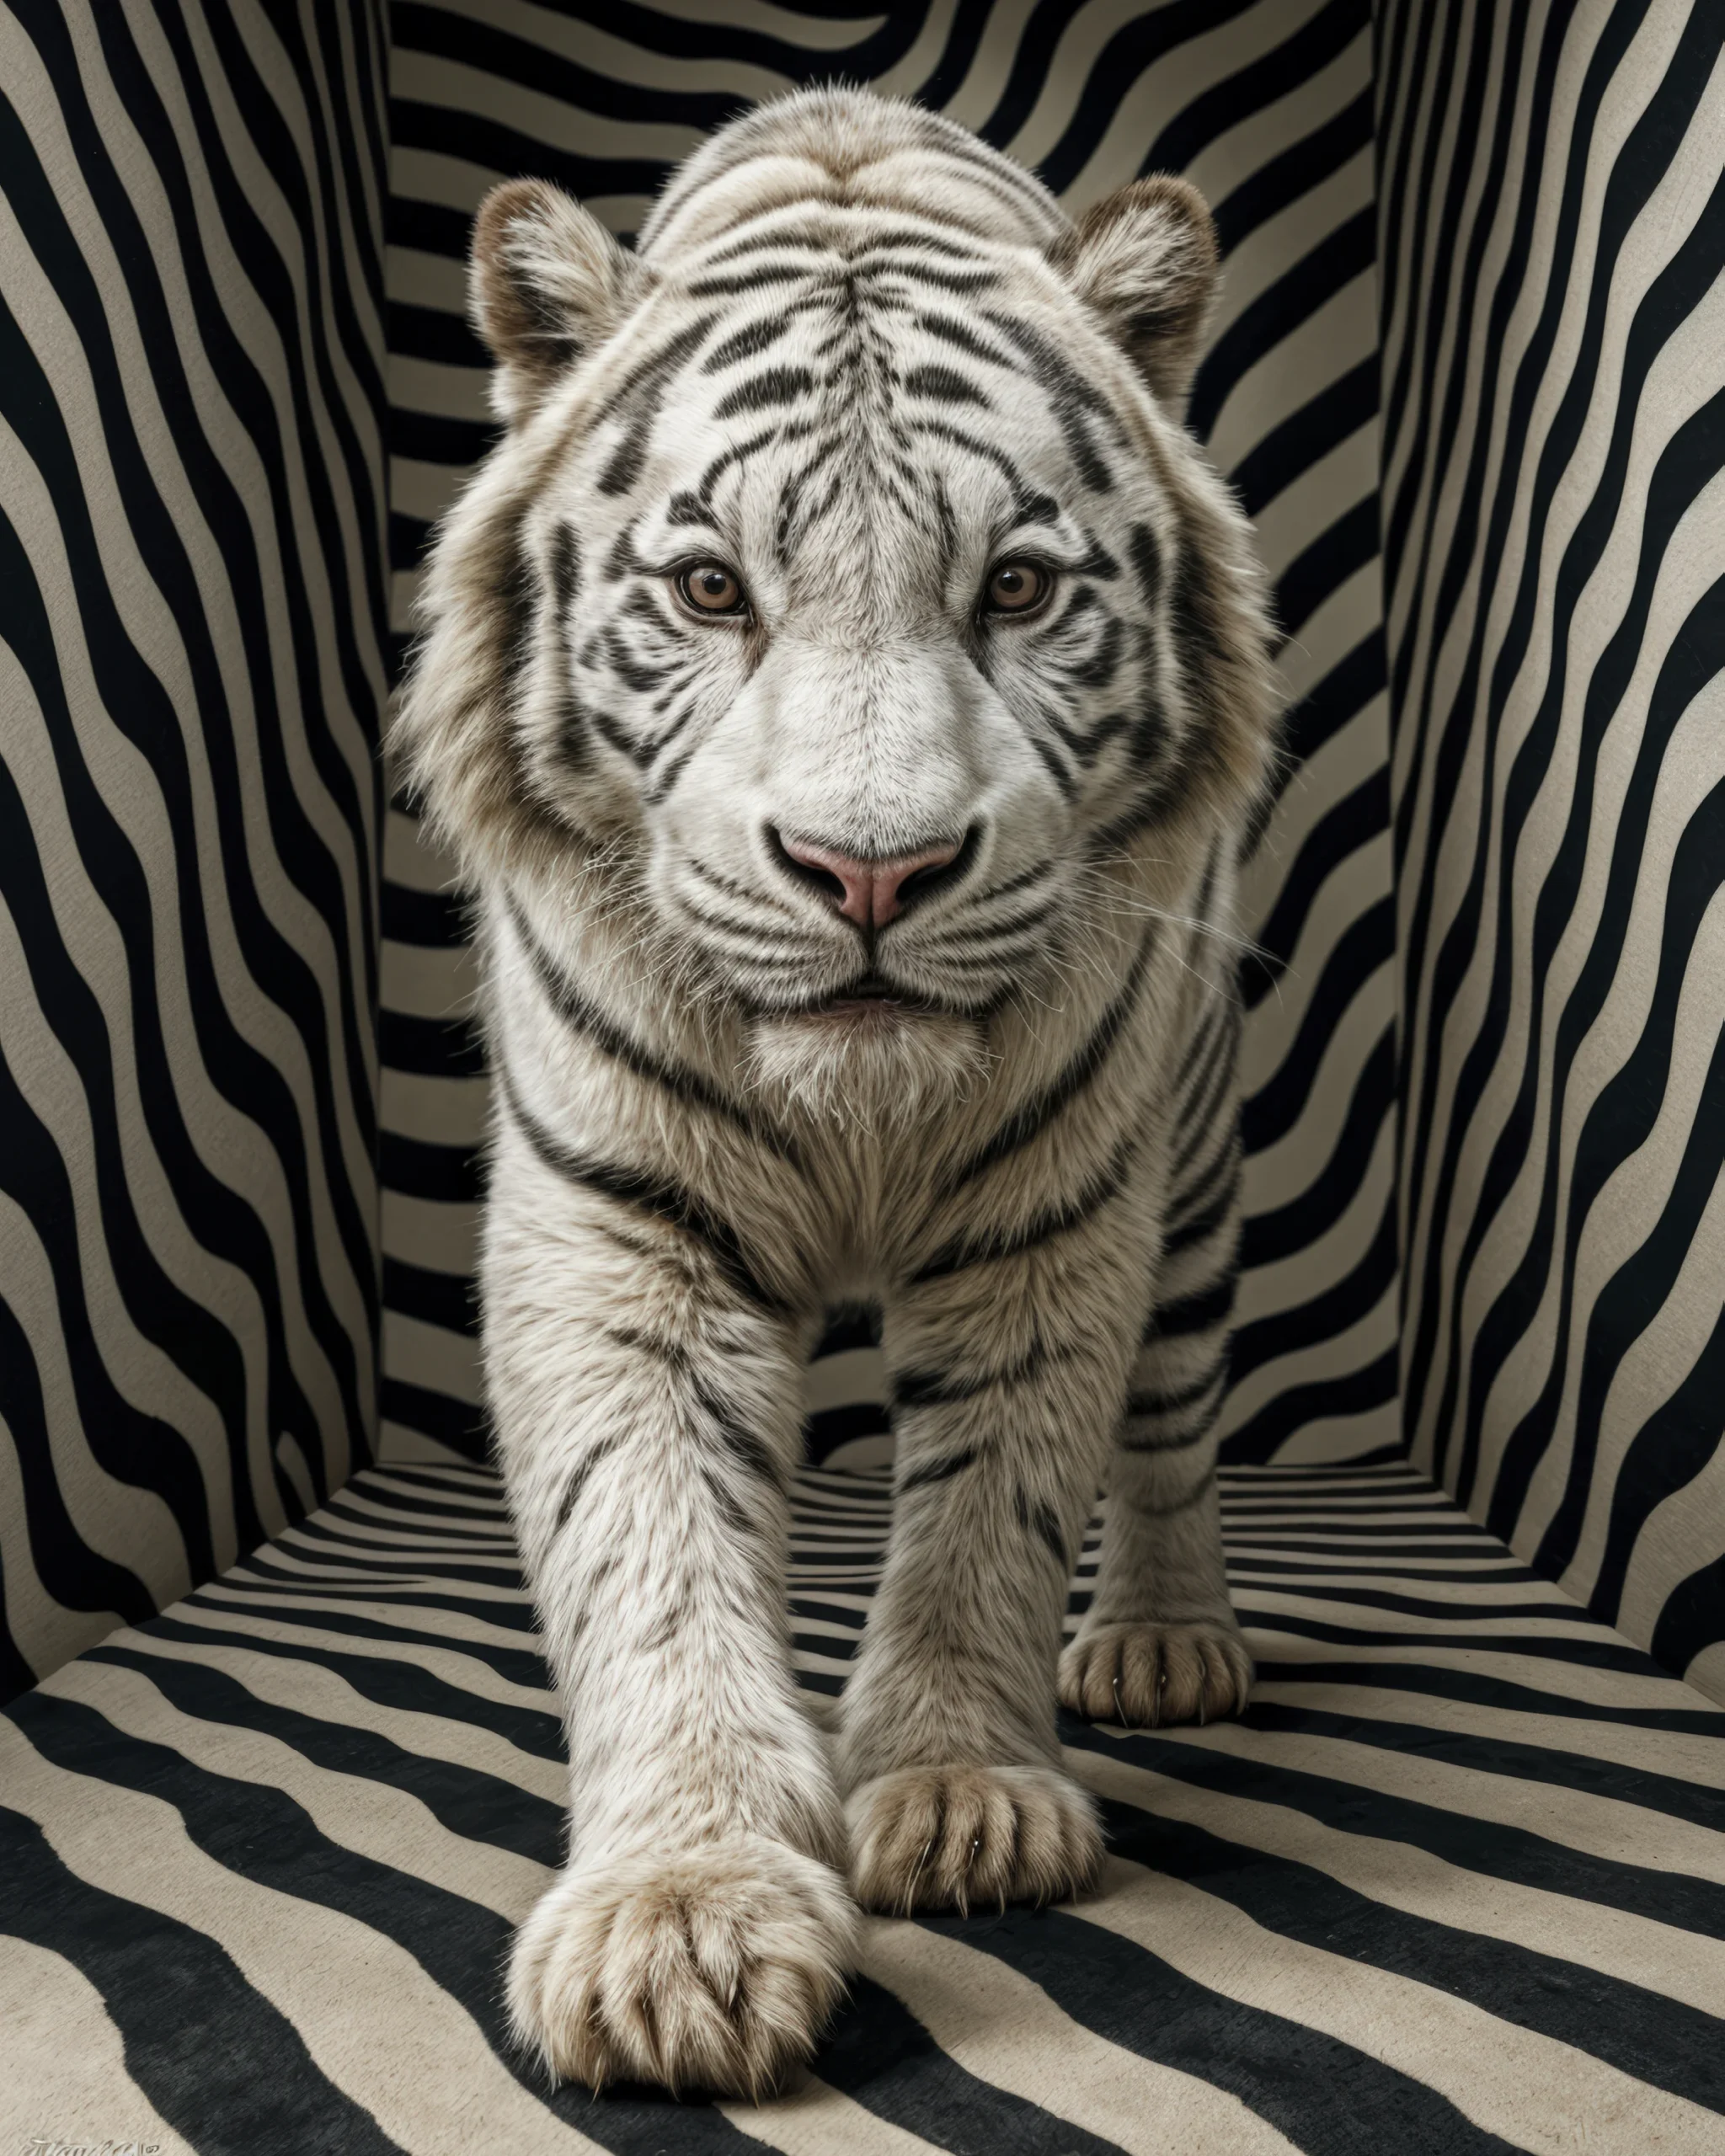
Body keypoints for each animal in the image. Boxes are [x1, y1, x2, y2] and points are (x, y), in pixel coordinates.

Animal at [393, 86, 1277, 2099]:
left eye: (1015, 588)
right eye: (711, 588)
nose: (871, 872)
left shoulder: (1055, 1216)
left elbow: (989, 1513)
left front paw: (956, 1794)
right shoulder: (613, 1234)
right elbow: (646, 1548)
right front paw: (684, 1923)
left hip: (1186, 1167)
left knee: (1172, 1415)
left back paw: (1166, 1642)